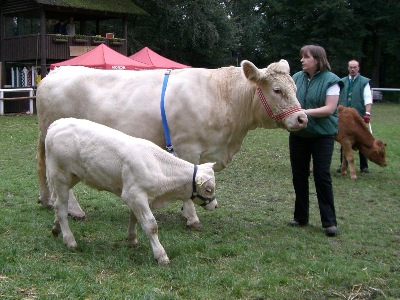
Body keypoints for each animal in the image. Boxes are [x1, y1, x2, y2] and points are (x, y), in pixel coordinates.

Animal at [36, 59, 306, 227]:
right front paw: (192, 217)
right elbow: (191, 176)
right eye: (277, 90)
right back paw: (74, 210)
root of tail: (56, 72)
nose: (302, 118)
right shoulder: (187, 147)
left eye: (295, 87)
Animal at [45, 118, 217, 264]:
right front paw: (161, 255)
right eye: (208, 189)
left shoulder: (138, 197)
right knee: (60, 207)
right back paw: (70, 240)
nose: (215, 205)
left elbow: (134, 218)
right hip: (60, 176)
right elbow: (151, 225)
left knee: (57, 202)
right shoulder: (135, 195)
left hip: (71, 177)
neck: (158, 165)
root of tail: (56, 124)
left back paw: (56, 228)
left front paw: (132, 239)